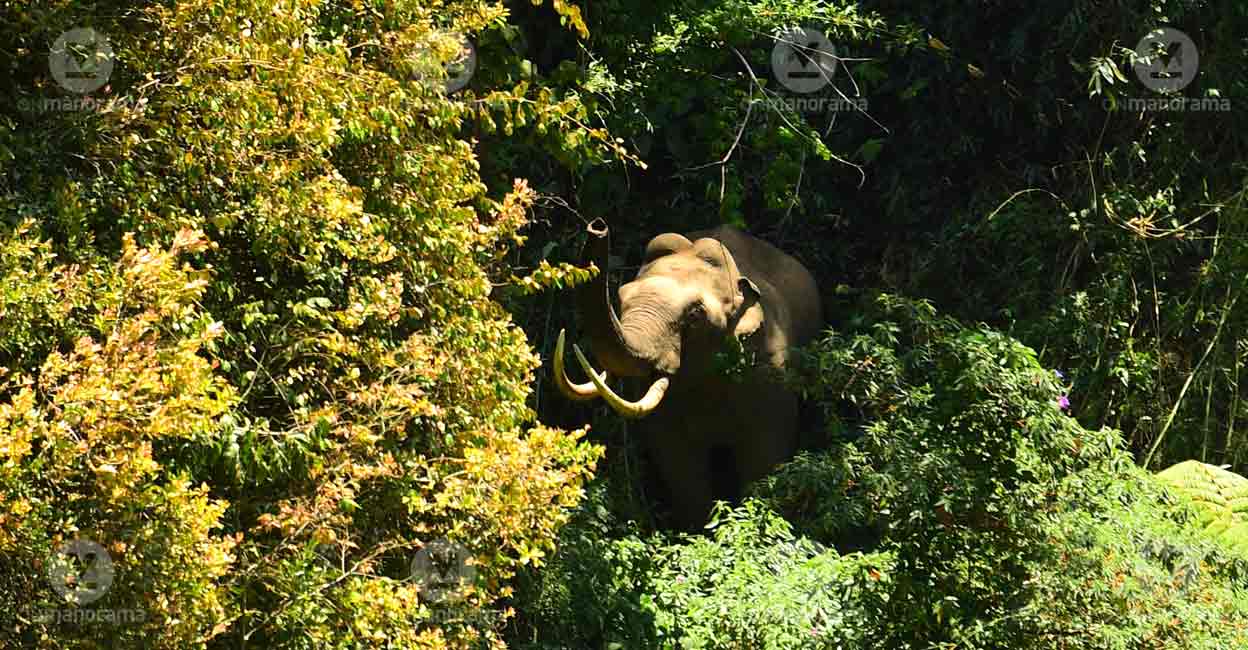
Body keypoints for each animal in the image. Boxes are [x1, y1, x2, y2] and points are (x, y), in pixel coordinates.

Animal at [553, 219, 822, 530]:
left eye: (694, 315)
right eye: (620, 300)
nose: (598, 227)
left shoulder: (772, 370)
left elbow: (766, 454)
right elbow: (677, 460)